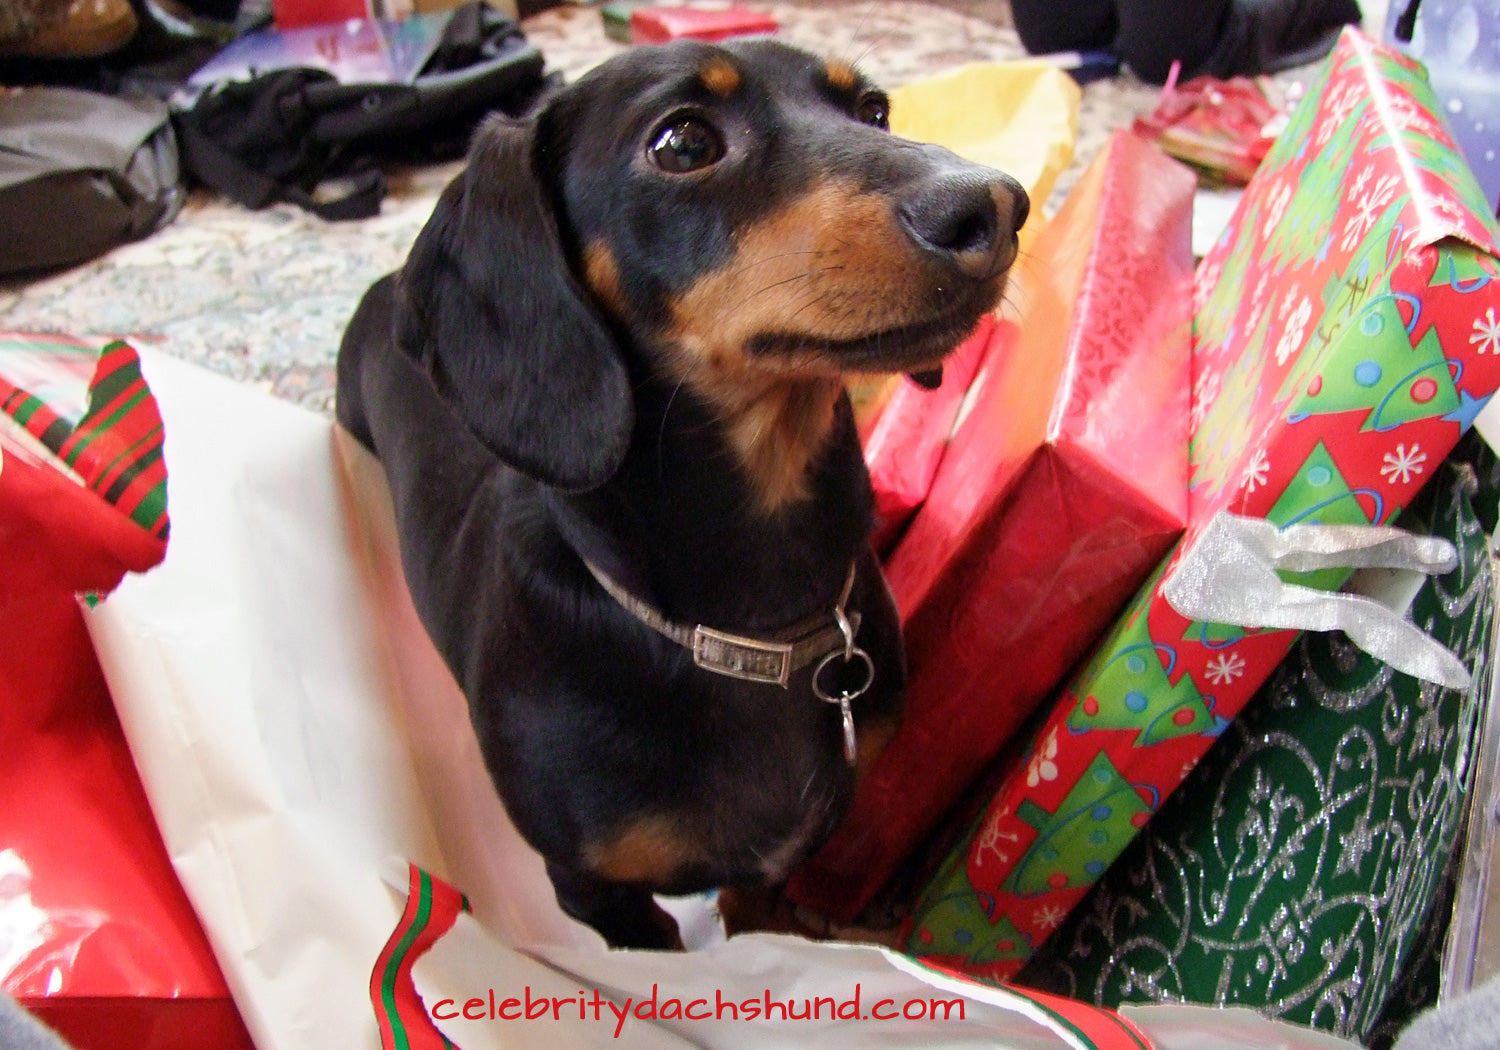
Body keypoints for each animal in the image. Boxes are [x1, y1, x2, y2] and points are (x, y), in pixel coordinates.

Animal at [334, 36, 1026, 948]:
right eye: (683, 142)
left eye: (874, 109)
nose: (998, 207)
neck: (749, 631)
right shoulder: (601, 895)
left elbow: (759, 912)